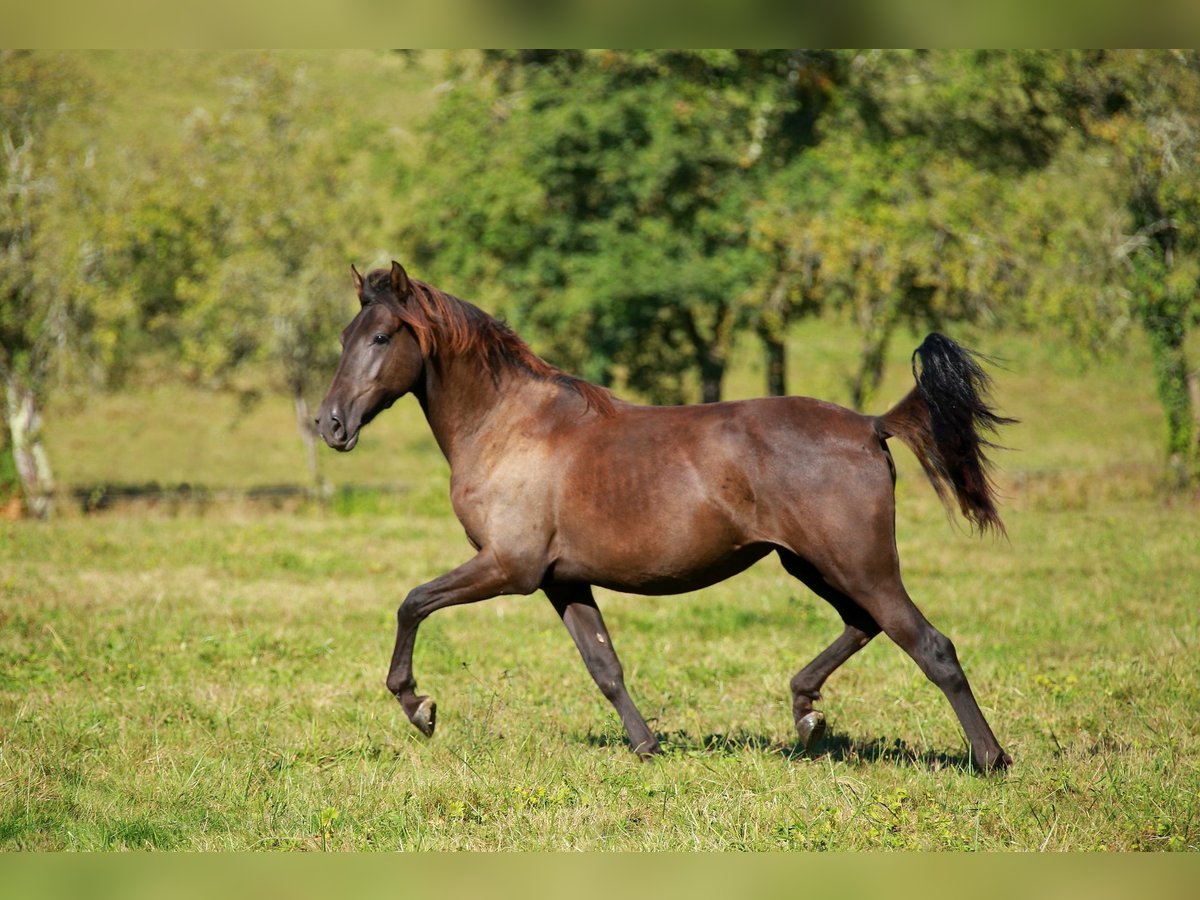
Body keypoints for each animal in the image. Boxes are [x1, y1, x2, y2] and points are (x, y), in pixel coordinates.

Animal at [316, 262, 1012, 777]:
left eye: (382, 338)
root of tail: (871, 425)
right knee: (864, 625)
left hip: (859, 565)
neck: (510, 427)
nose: (330, 425)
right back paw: (807, 714)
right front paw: (647, 745)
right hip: (810, 563)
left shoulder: (508, 567)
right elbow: (604, 665)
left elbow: (412, 602)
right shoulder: (561, 579)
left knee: (930, 646)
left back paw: (989, 758)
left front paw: (419, 707)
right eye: (344, 338)